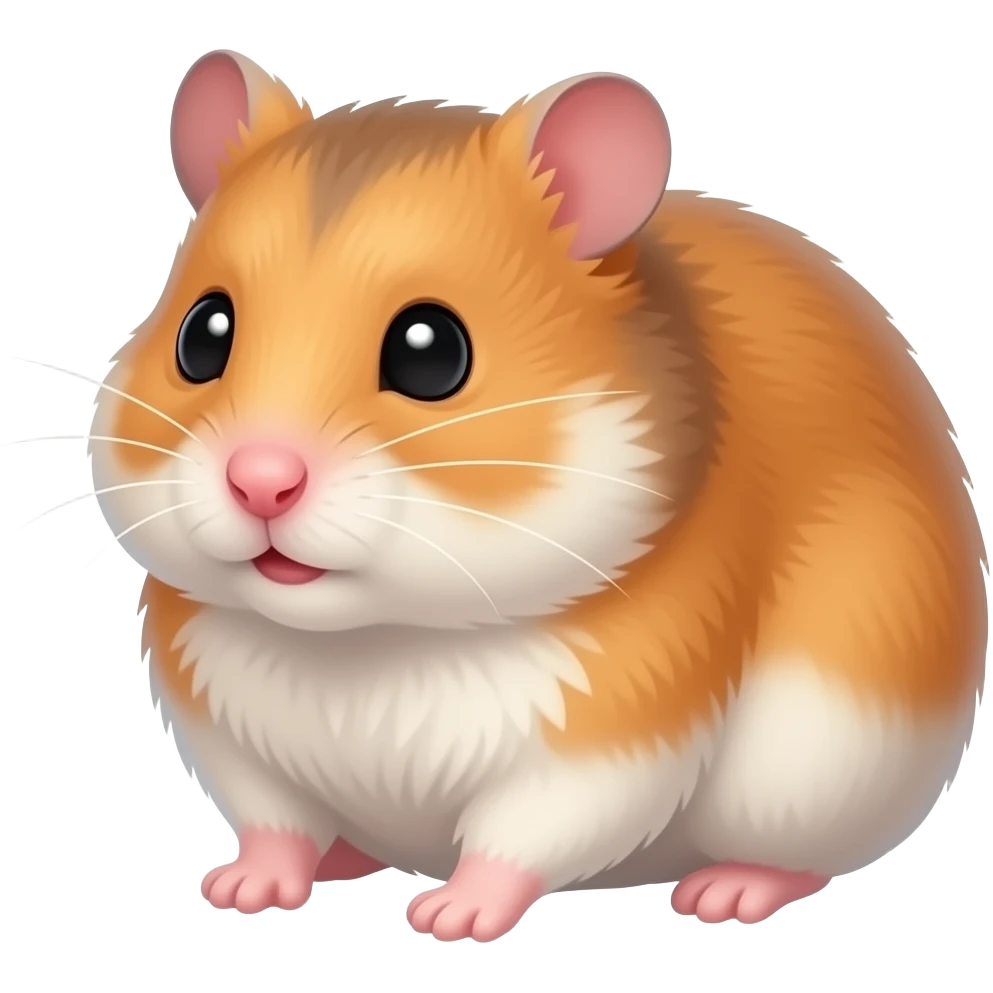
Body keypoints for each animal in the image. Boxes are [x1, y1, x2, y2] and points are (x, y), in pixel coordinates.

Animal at [86, 51, 987, 938]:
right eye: (202, 334)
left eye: (430, 352)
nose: (260, 481)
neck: (373, 640)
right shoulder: (227, 733)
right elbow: (274, 824)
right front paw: (236, 890)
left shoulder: (614, 730)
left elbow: (519, 833)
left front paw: (448, 915)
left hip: (821, 767)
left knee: (799, 855)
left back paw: (723, 894)